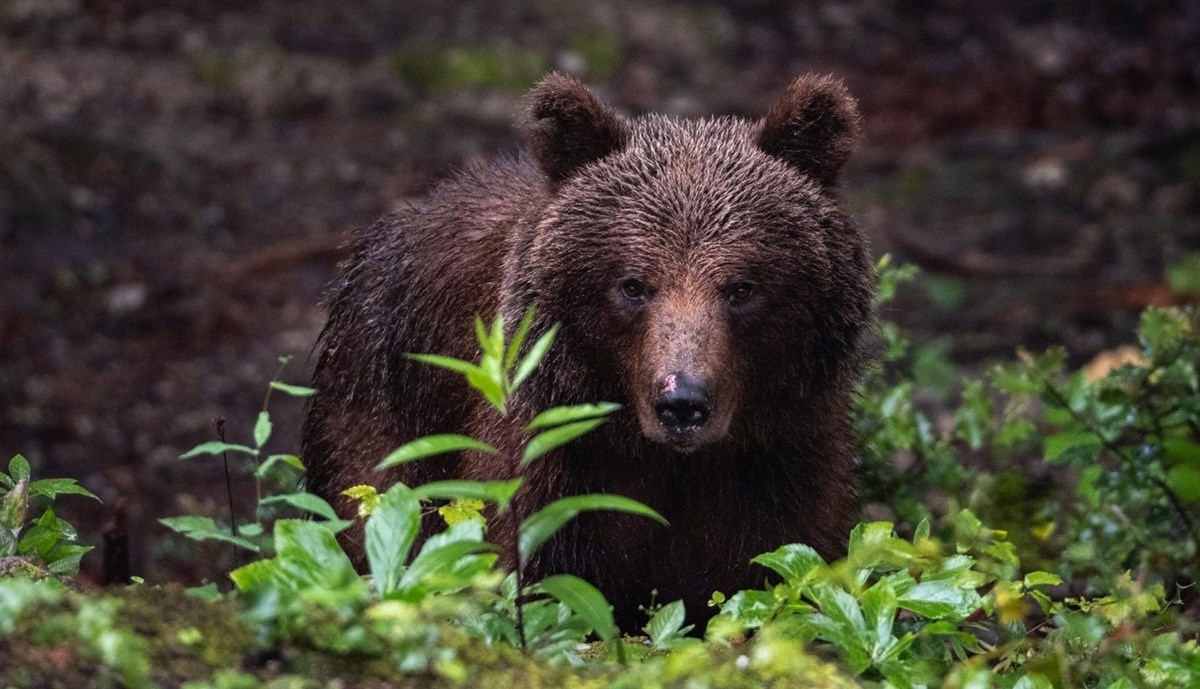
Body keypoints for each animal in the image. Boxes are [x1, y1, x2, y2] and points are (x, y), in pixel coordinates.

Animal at [302, 74, 873, 633]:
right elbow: (546, 579)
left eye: (741, 287)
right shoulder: (557, 465)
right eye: (633, 285)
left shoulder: (779, 456)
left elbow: (774, 567)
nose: (682, 403)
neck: (661, 454)